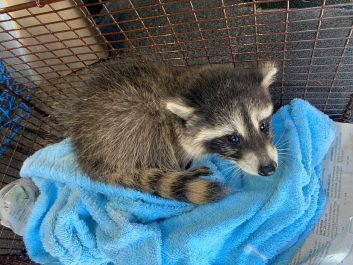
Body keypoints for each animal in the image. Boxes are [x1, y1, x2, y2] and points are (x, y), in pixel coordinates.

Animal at [58, 60, 278, 204]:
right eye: (232, 139)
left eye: (263, 126)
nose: (269, 168)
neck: (184, 84)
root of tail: (86, 153)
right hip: (126, 124)